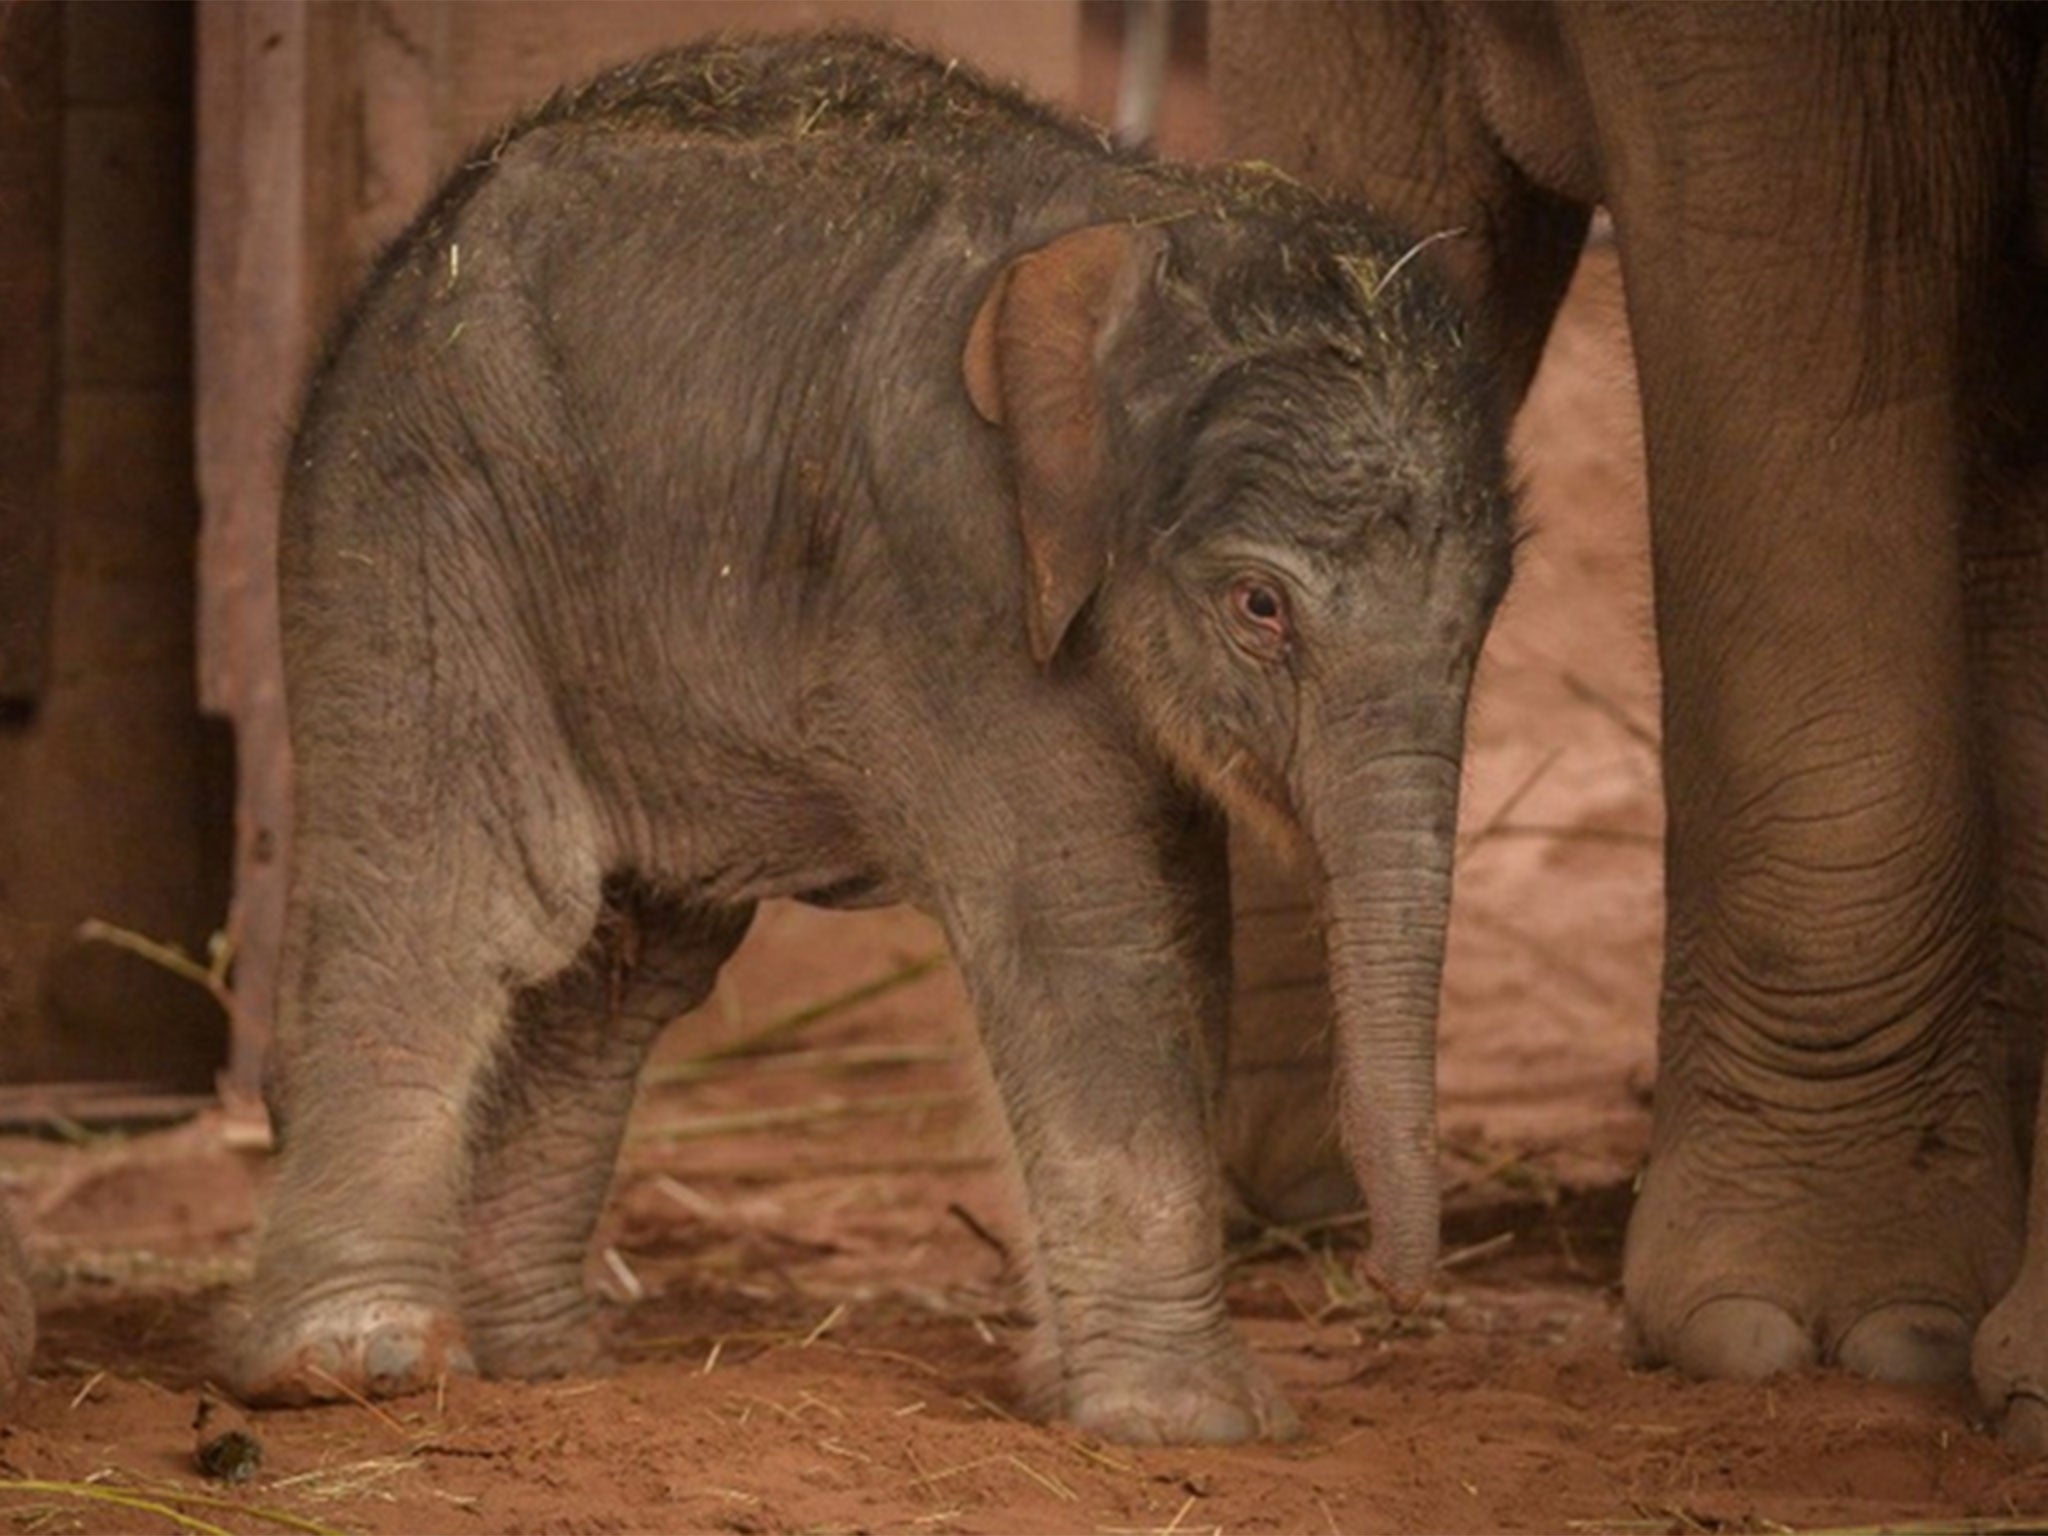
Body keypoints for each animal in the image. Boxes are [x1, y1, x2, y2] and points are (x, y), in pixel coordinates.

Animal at [243, 36, 1523, 1449]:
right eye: (1259, 607)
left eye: (1488, 609)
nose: (1393, 1297)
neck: (1138, 220)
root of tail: (407, 248)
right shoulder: (949, 558)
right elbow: (1084, 921)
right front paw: (1191, 1425)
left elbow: (1184, 925)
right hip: (417, 505)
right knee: (451, 897)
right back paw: (350, 1365)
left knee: (622, 970)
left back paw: (547, 1363)